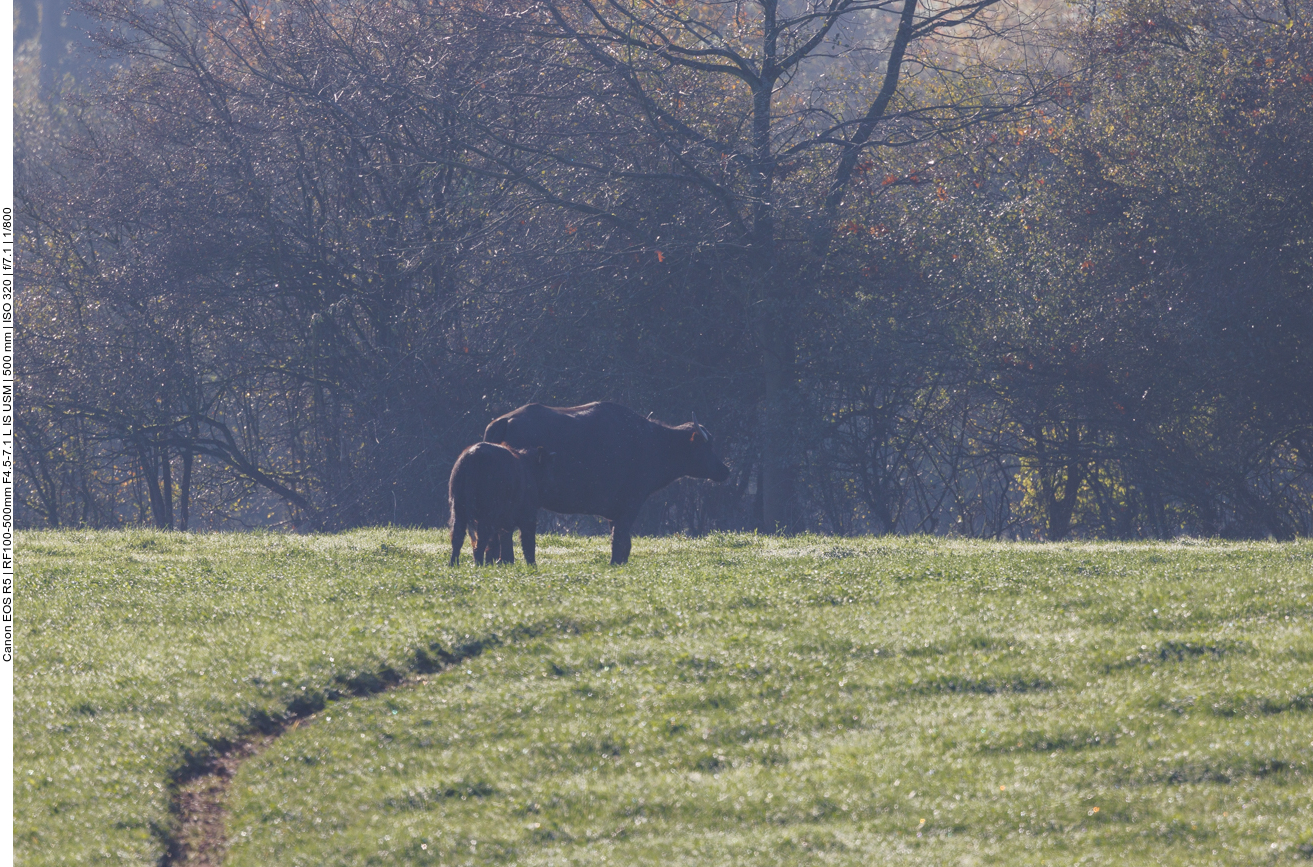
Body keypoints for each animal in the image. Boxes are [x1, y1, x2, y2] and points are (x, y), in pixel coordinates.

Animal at [485, 401, 735, 564]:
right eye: (707, 446)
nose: (725, 471)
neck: (652, 443)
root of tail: (504, 421)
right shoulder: (631, 503)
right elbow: (621, 538)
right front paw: (616, 562)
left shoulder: (613, 511)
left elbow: (622, 539)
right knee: (506, 531)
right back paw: (506, 560)